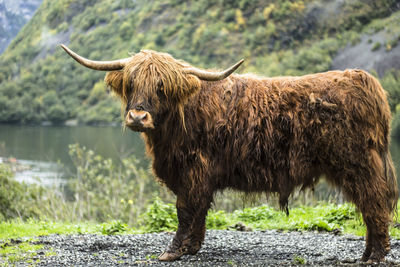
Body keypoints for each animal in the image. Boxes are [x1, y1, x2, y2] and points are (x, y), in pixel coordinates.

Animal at [61, 44, 398, 264]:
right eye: (131, 83)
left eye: (161, 87)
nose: (137, 117)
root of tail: (365, 80)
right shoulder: (197, 175)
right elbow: (198, 211)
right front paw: (192, 248)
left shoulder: (193, 171)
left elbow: (185, 210)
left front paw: (172, 251)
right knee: (371, 207)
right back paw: (366, 255)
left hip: (357, 165)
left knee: (375, 205)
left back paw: (375, 256)